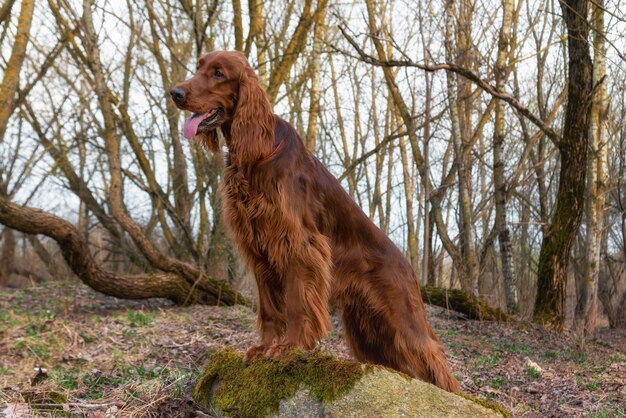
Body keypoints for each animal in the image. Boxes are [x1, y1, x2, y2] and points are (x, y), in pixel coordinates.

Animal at [171, 49, 458, 392]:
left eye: (218, 73)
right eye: (198, 67)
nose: (175, 93)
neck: (257, 153)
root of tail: (408, 266)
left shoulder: (299, 244)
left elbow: (296, 302)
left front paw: (289, 347)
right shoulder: (259, 250)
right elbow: (269, 309)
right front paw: (264, 347)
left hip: (402, 318)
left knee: (433, 356)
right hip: (367, 329)